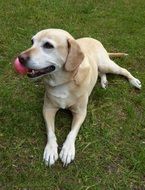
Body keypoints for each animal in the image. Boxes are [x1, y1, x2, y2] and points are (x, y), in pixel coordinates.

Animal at [17, 28, 142, 166]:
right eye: (32, 42)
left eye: (48, 45)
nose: (20, 58)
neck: (64, 82)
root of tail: (94, 39)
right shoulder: (48, 108)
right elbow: (51, 132)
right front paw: (51, 150)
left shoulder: (81, 112)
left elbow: (72, 132)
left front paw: (67, 150)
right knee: (101, 72)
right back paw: (104, 81)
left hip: (107, 65)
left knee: (122, 70)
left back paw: (134, 81)